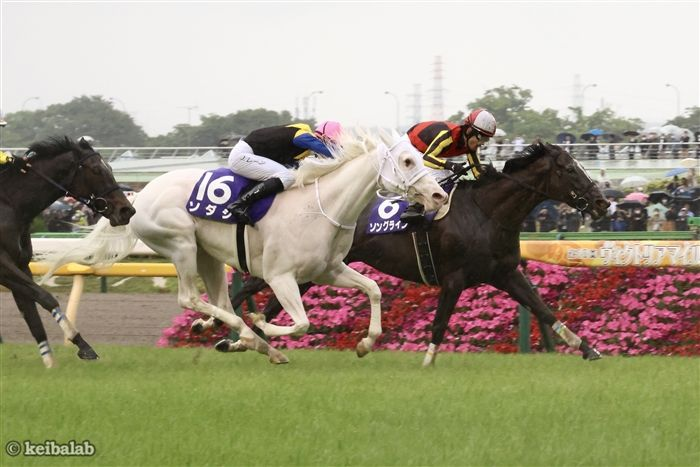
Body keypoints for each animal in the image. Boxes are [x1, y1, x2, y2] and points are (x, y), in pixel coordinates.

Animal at [0, 136, 135, 367]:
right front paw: (81, 344)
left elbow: (31, 314)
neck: (10, 204)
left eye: (109, 167)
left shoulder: (20, 264)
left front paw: (50, 364)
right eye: (96, 170)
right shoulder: (3, 265)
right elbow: (45, 297)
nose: (127, 210)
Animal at [40, 133, 447, 364]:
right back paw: (251, 338)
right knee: (190, 297)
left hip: (205, 254)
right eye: (407, 161)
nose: (439, 195)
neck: (321, 206)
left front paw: (366, 342)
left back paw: (240, 337)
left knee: (218, 299)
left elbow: (374, 289)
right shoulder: (281, 276)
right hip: (181, 244)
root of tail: (137, 196)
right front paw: (263, 322)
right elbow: (301, 322)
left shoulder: (329, 269)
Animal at [212, 141, 610, 365]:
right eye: (570, 169)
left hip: (316, 269)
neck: (485, 213)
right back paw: (233, 336)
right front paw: (428, 361)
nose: (602, 202)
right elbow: (440, 321)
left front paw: (587, 348)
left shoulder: (506, 272)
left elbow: (543, 309)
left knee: (269, 305)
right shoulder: (454, 278)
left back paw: (243, 342)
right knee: (259, 294)